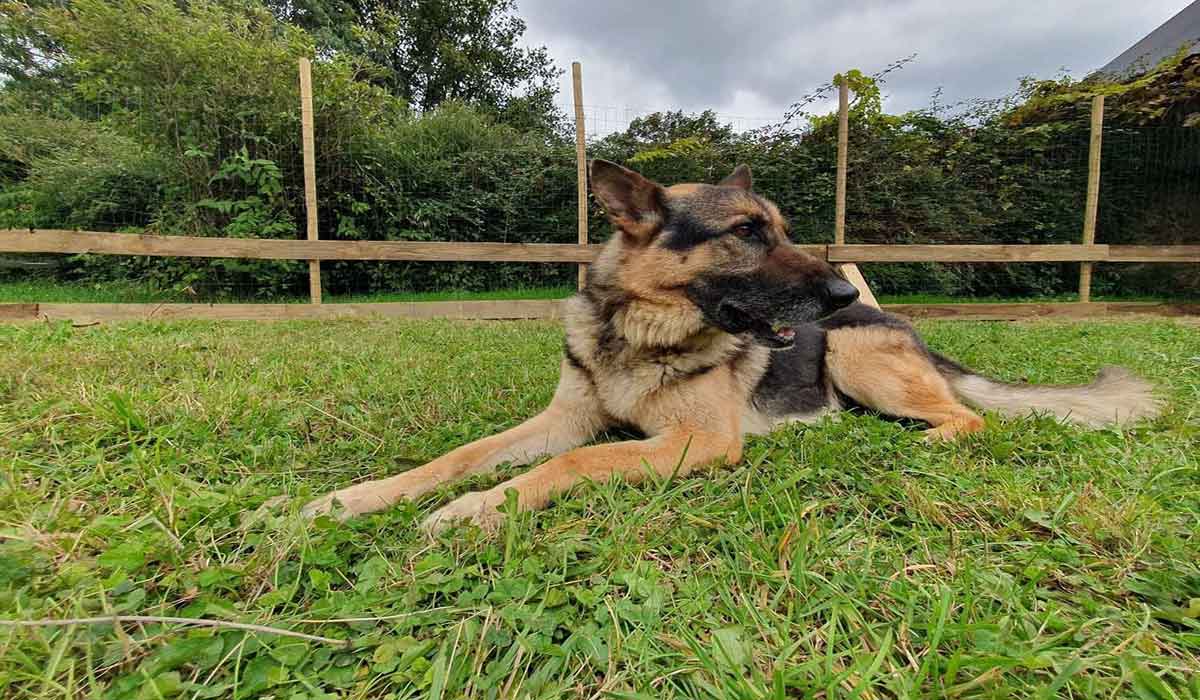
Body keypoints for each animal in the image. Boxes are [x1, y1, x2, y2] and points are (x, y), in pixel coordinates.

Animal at [304, 159, 1166, 530]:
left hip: (852, 354)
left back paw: (916, 442)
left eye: (781, 229)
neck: (641, 336)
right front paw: (356, 498)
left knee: (969, 419)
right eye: (749, 233)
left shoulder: (696, 442)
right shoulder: (564, 419)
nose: (842, 293)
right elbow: (458, 457)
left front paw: (479, 508)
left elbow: (571, 465)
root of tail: (898, 323)